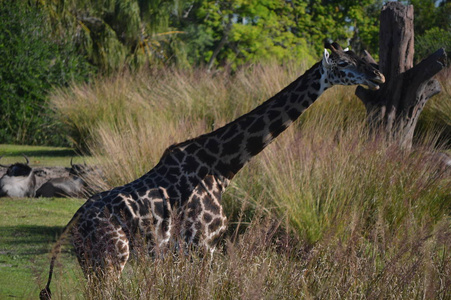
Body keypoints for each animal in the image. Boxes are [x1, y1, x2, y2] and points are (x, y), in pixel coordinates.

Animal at [39, 42, 384, 300]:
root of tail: (73, 222)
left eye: (360, 56)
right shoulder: (203, 244)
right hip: (110, 259)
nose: (378, 75)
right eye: (342, 63)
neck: (223, 167)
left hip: (91, 263)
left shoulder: (187, 251)